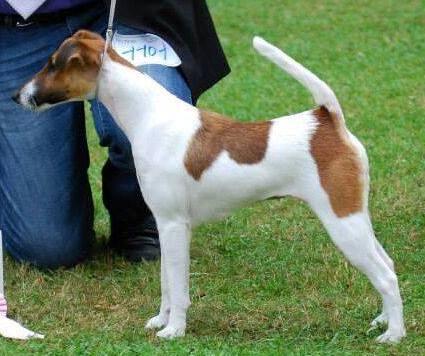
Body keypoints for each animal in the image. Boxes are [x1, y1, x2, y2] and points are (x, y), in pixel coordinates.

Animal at [13, 29, 404, 342]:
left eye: (52, 64)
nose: (17, 96)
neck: (149, 116)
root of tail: (326, 119)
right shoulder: (165, 226)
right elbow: (166, 283)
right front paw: (161, 321)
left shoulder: (174, 225)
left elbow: (178, 287)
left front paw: (174, 331)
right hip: (354, 216)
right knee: (386, 263)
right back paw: (381, 320)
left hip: (342, 221)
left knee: (386, 275)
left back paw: (394, 335)